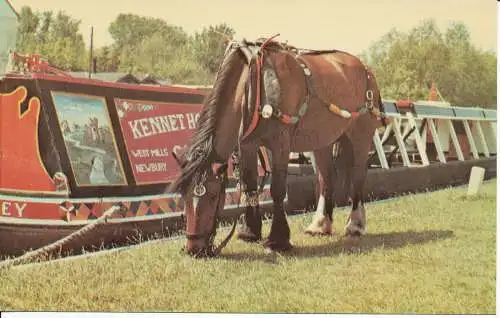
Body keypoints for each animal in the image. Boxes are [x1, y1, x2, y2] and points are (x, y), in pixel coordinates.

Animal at [170, 36, 384, 258]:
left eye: (213, 197)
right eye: (184, 196)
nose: (194, 249)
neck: (255, 83)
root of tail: (365, 68)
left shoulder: (281, 143)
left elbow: (277, 190)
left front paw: (278, 240)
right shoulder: (248, 145)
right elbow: (249, 186)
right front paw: (250, 232)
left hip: (360, 135)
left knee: (358, 178)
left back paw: (355, 225)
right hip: (322, 139)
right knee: (326, 179)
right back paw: (320, 225)